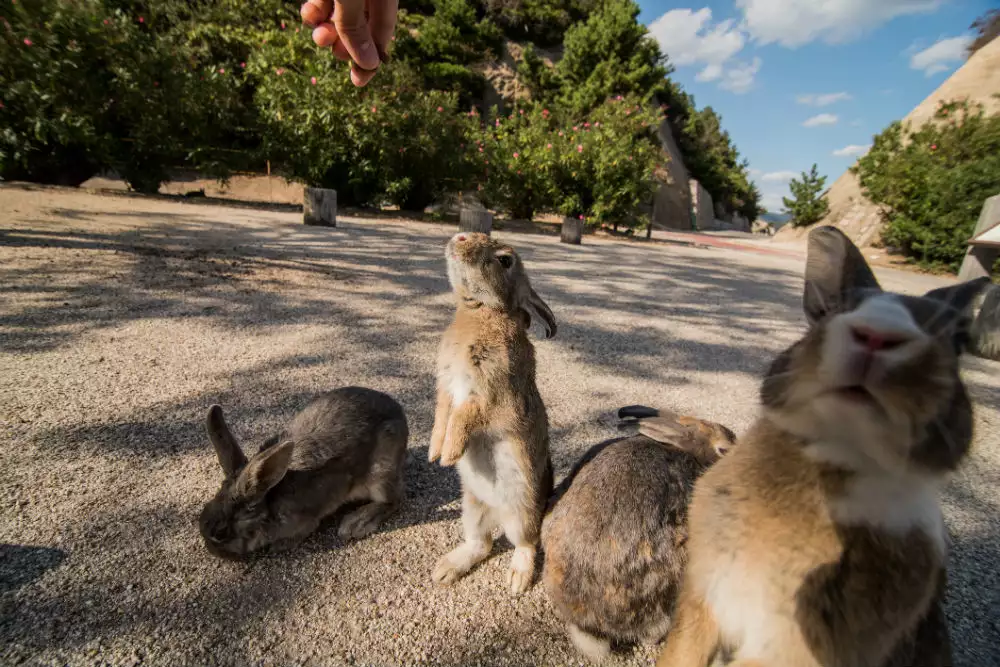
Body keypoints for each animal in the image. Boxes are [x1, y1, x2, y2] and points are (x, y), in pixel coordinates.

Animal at [198, 386, 406, 560]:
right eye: (203, 512)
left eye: (220, 533)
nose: (211, 550)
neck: (268, 501)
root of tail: (400, 414)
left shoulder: (306, 521)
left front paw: (280, 546)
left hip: (381, 473)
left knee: (393, 501)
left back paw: (355, 523)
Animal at [428, 232, 560, 596]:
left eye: (504, 260)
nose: (459, 236)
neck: (482, 309)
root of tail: (497, 512)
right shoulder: (446, 387)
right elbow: (442, 415)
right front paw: (435, 453)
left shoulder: (494, 396)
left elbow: (465, 415)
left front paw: (450, 453)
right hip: (471, 508)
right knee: (482, 543)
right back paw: (444, 571)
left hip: (522, 512)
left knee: (526, 543)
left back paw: (517, 580)